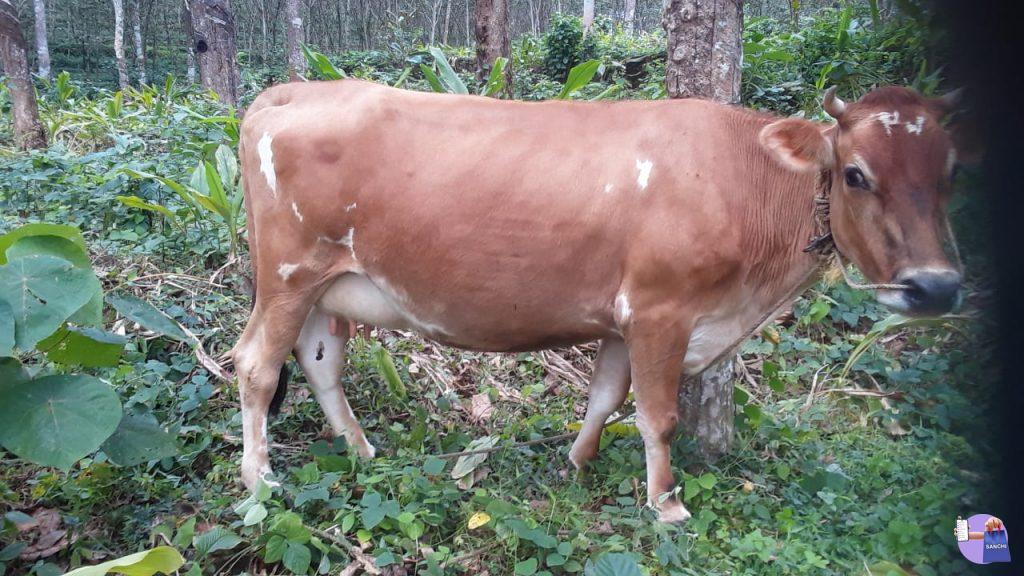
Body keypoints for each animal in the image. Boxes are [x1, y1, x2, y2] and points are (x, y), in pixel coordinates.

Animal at [229, 80, 963, 523]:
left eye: (949, 173)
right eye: (856, 174)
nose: (936, 286)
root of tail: (291, 91)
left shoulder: (622, 316)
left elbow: (607, 397)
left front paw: (577, 463)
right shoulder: (663, 312)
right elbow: (658, 416)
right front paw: (666, 505)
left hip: (327, 286)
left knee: (321, 364)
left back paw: (361, 451)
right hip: (290, 272)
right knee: (256, 365)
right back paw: (259, 479)